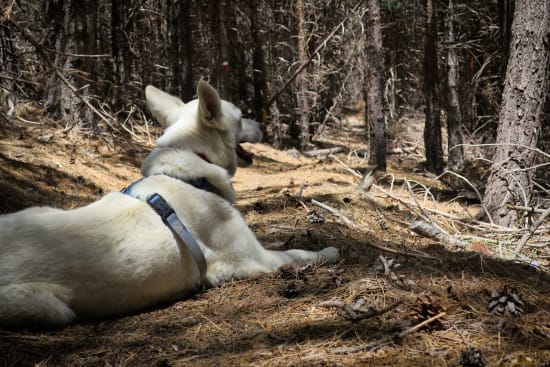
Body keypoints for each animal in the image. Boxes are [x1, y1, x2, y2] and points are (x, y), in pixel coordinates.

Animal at [0, 82, 340, 330]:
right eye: (241, 116)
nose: (261, 124)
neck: (192, 164)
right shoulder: (257, 259)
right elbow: (298, 253)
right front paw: (329, 251)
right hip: (50, 308)